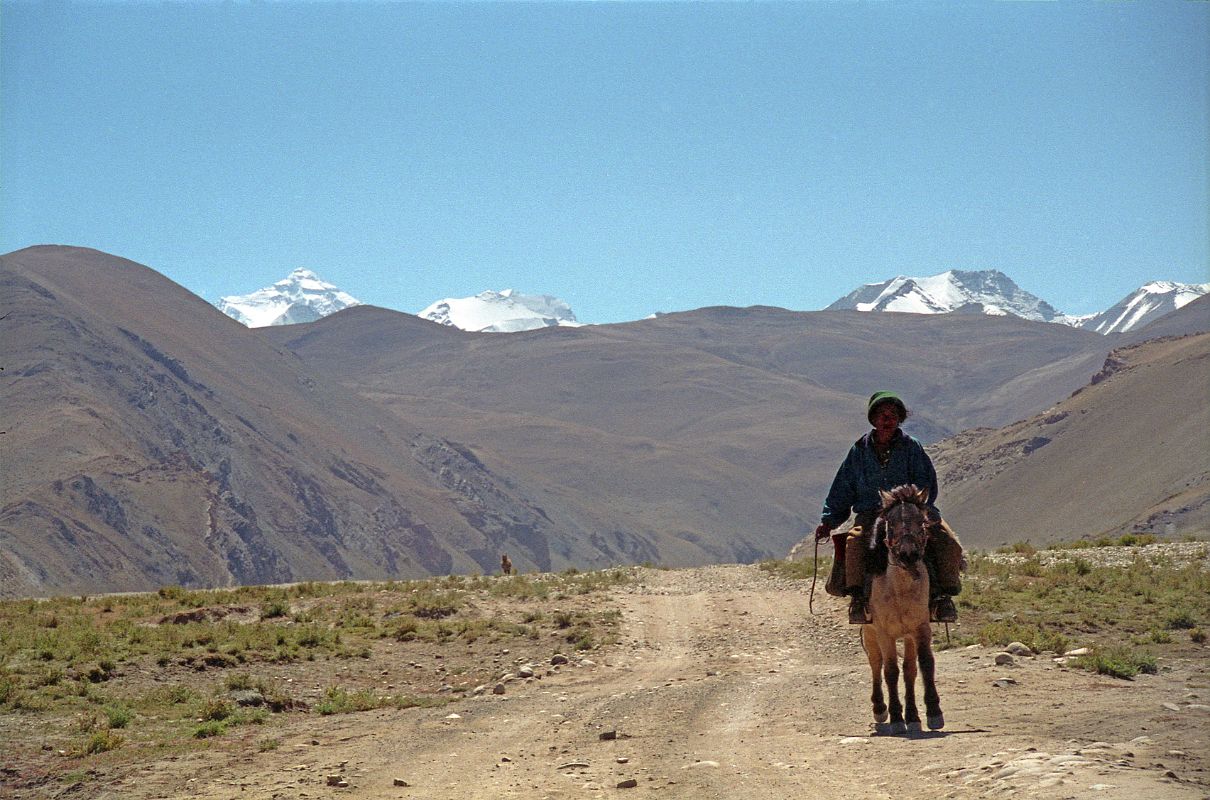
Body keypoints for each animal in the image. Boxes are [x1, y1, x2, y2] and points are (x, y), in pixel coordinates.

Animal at [861, 484, 943, 731]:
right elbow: (890, 670)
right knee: (875, 664)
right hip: (869, 632)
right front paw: (897, 717)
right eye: (891, 522)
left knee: (909, 670)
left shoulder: (920, 628)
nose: (908, 554)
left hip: (906, 636)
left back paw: (913, 716)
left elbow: (923, 664)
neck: (900, 589)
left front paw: (932, 712)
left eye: (921, 521)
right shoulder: (884, 633)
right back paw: (880, 709)